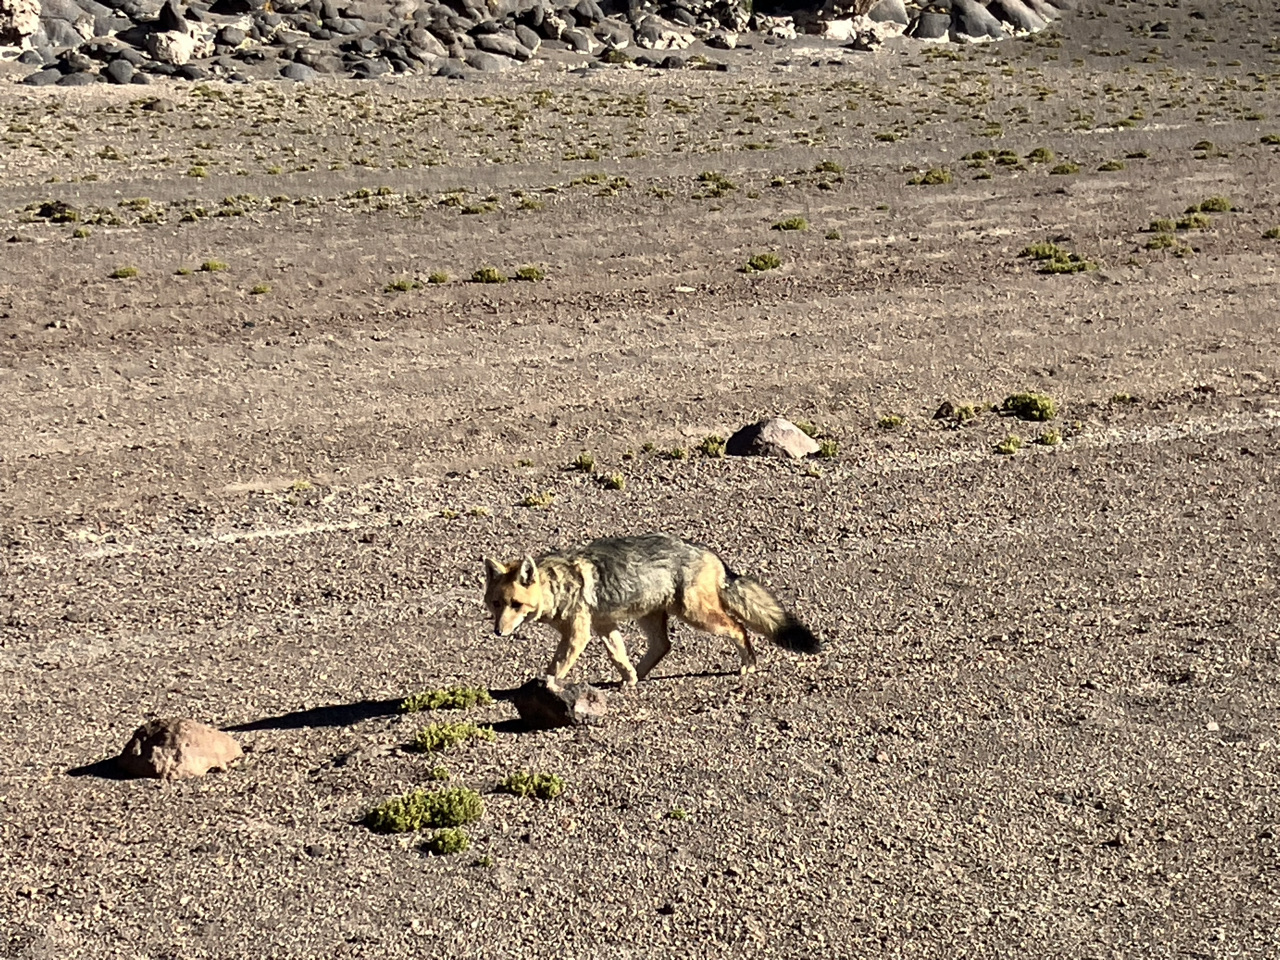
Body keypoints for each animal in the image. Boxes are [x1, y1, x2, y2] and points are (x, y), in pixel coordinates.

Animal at [481, 535, 819, 686]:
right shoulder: (604, 626)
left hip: (697, 615)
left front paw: (545, 685)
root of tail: (709, 553)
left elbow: (557, 665)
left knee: (739, 627)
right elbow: (619, 656)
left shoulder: (579, 635)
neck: (557, 584)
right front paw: (628, 677)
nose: (499, 632)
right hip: (652, 617)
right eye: (496, 604)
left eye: (516, 605)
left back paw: (748, 663)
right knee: (662, 646)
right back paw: (637, 676)